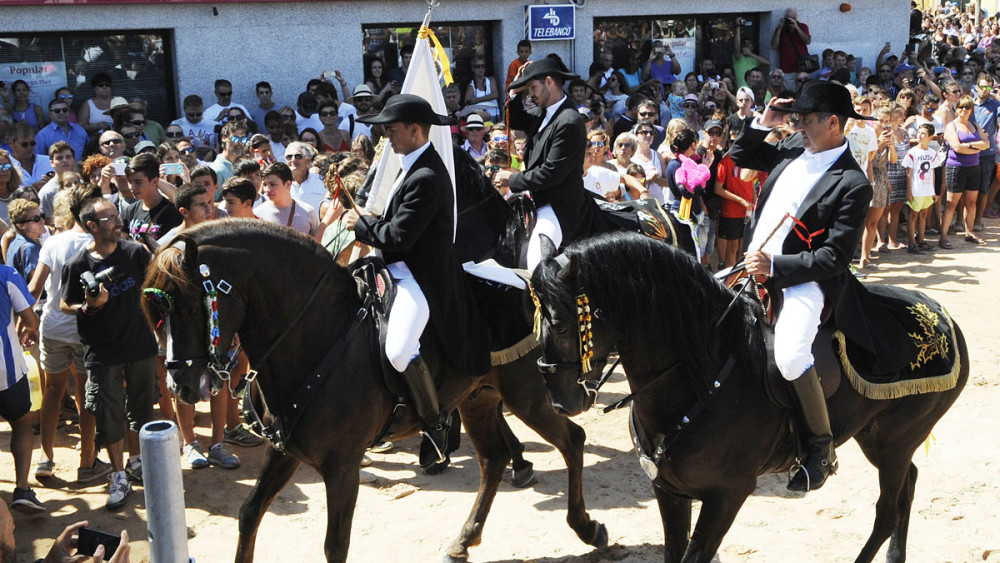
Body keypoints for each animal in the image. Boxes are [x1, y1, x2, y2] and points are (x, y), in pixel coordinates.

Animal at [142, 221, 608, 563]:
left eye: (188, 305)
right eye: (158, 313)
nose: (181, 385)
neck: (316, 336)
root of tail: (526, 279)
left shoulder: (342, 464)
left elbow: (335, 545)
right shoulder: (284, 450)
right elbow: (249, 513)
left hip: (529, 395)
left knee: (572, 440)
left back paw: (587, 527)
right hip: (480, 399)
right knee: (494, 460)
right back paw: (464, 539)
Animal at [532, 232, 968, 563]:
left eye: (561, 324)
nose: (559, 402)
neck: (698, 379)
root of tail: (940, 314)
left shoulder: (728, 495)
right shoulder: (669, 491)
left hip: (896, 441)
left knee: (888, 509)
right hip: (877, 438)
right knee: (908, 485)